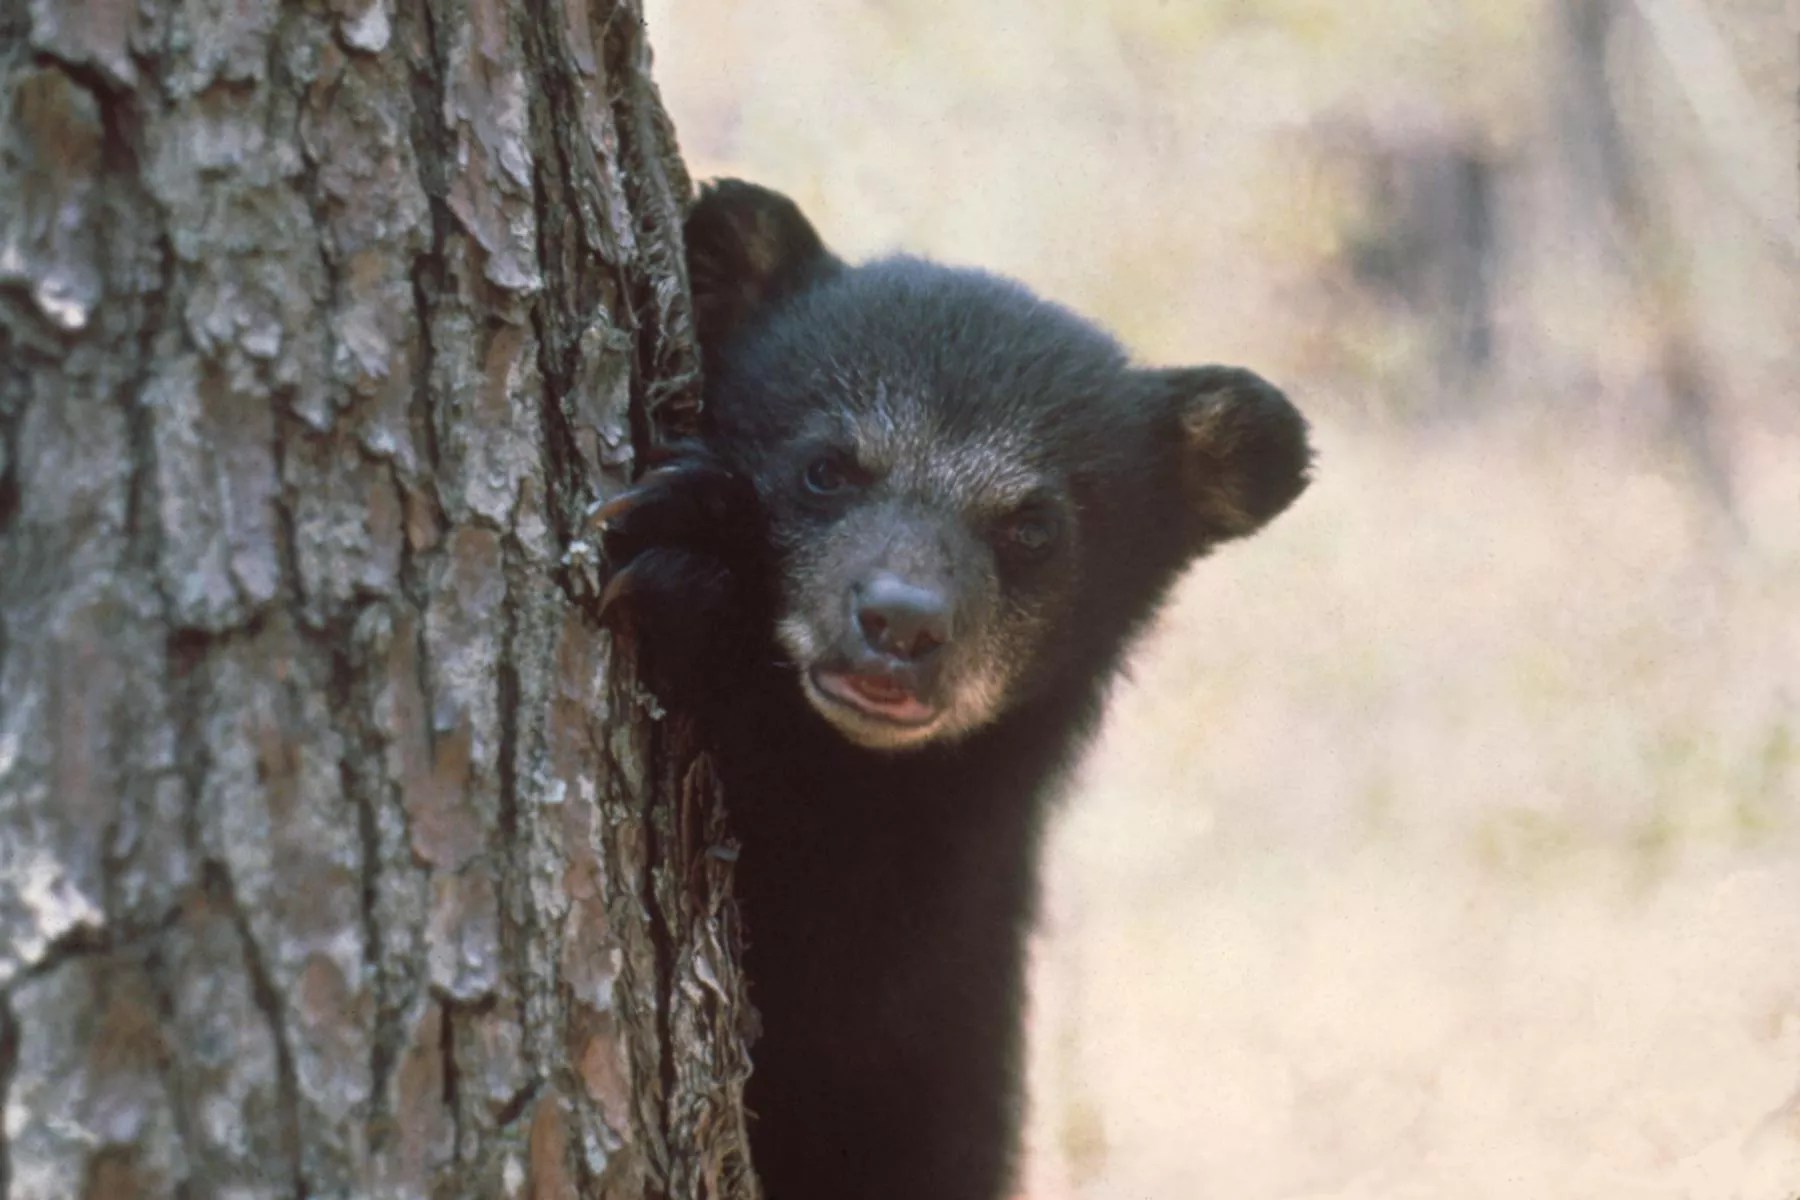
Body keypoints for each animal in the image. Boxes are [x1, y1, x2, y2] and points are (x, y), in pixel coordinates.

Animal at [597, 180, 1312, 1200]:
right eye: (826, 468)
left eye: (1034, 528)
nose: (902, 624)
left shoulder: (935, 936)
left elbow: (838, 971)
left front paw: (695, 571)